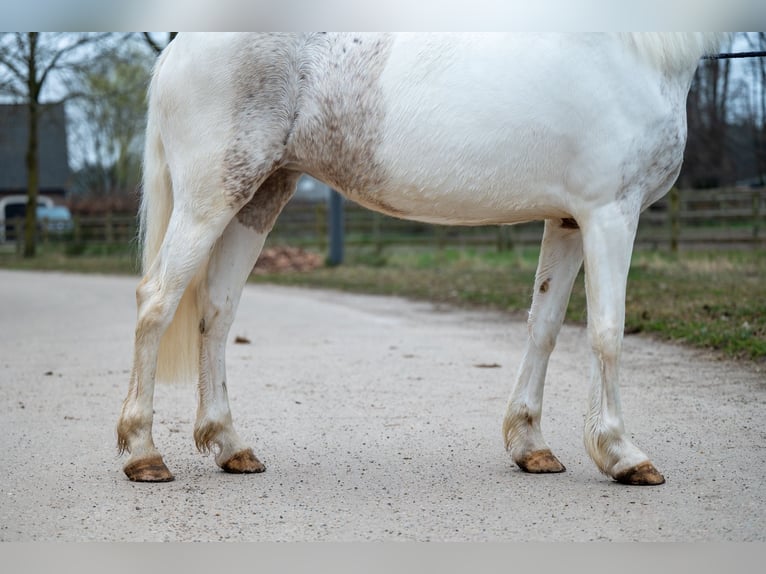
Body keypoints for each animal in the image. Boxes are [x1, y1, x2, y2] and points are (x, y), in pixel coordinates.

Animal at [117, 32, 728, 486]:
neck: (635, 48)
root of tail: (178, 47)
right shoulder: (609, 214)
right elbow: (607, 331)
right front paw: (623, 454)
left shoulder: (569, 221)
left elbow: (546, 326)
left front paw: (531, 444)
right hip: (209, 199)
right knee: (155, 301)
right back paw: (144, 454)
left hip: (259, 197)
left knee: (217, 314)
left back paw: (230, 445)